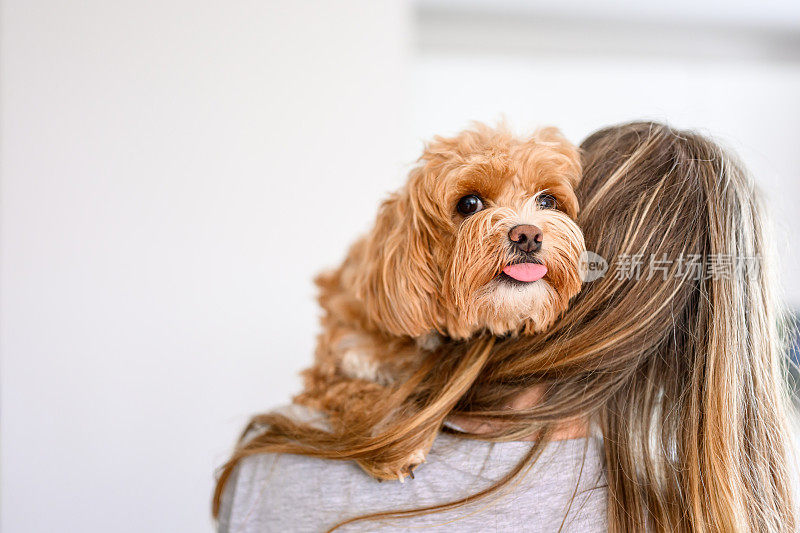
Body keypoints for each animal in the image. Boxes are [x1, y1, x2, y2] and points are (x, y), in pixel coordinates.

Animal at [296, 123, 584, 478]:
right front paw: (393, 444)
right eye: (469, 204)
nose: (528, 235)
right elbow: (360, 395)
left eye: (547, 200)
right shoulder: (331, 369)